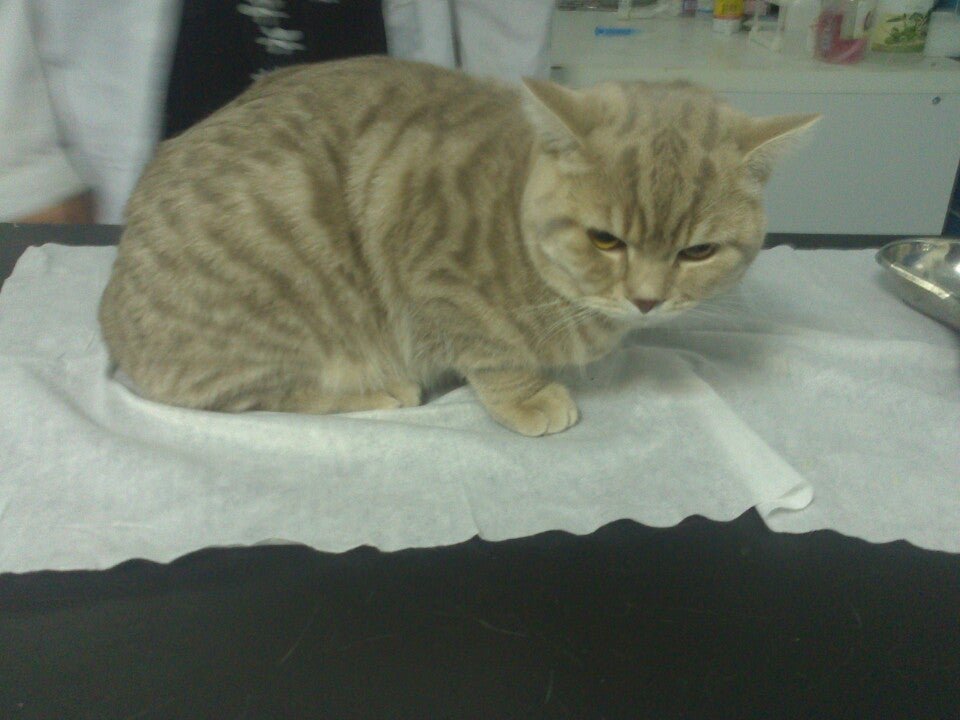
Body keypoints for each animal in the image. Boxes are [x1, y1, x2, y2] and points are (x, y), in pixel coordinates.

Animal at [99, 56, 817, 436]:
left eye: (697, 253)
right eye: (605, 239)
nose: (646, 301)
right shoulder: (436, 279)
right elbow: (490, 352)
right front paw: (528, 396)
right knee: (248, 396)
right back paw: (380, 392)